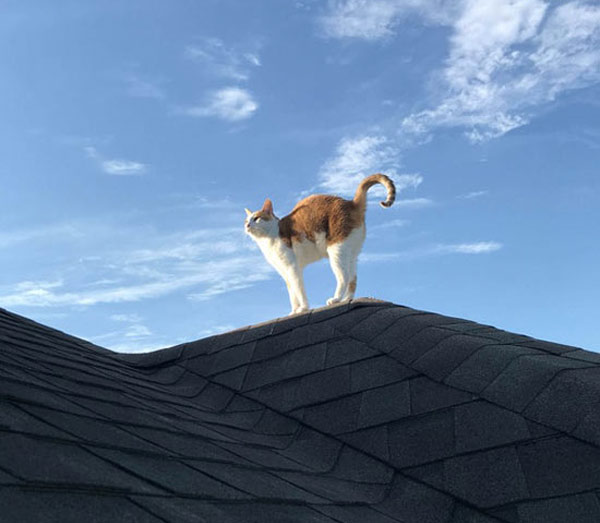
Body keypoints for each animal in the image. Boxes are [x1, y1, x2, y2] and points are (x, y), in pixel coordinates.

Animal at [244, 174, 394, 316]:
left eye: (256, 218)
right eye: (246, 220)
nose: (247, 225)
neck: (269, 238)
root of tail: (351, 203)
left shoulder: (293, 268)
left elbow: (299, 289)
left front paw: (303, 308)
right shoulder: (285, 272)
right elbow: (292, 294)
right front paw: (294, 311)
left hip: (336, 250)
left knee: (344, 276)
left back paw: (336, 299)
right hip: (351, 254)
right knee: (353, 279)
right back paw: (346, 299)